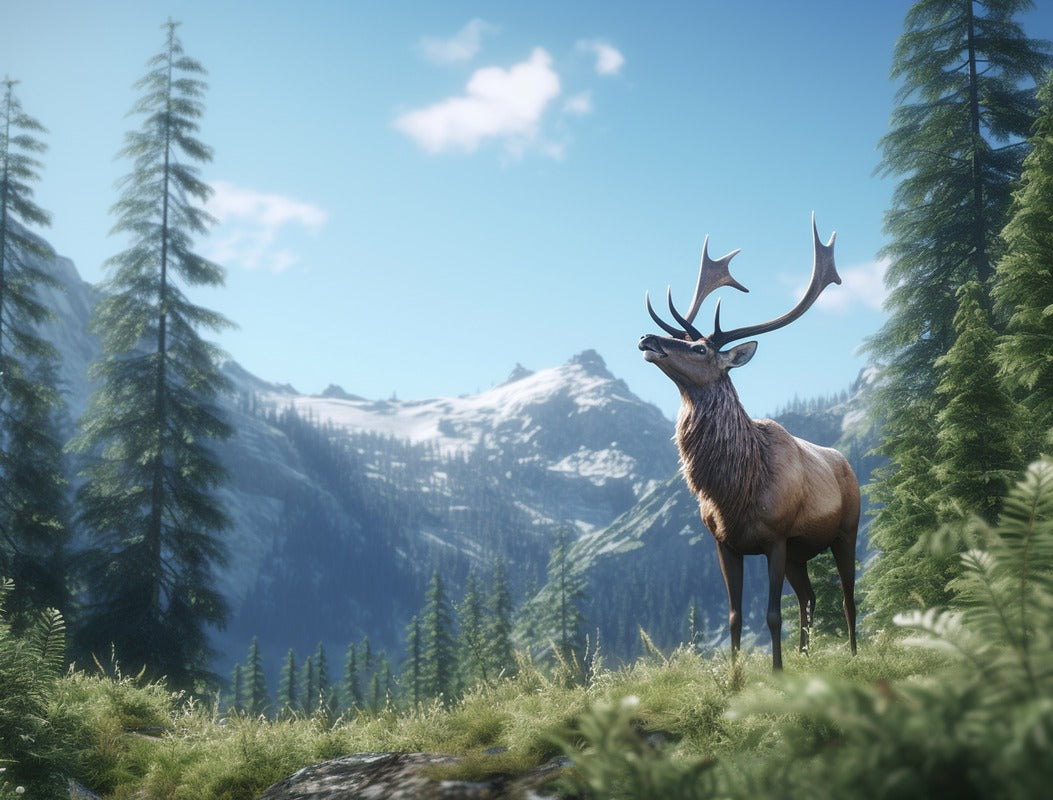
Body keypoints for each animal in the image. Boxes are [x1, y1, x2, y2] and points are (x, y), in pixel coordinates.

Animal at [638, 216, 859, 670]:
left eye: (699, 348)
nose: (648, 339)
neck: (736, 489)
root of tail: (847, 463)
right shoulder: (725, 544)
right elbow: (735, 616)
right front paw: (735, 675)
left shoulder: (774, 537)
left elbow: (773, 615)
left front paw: (776, 672)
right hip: (799, 553)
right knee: (809, 597)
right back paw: (805, 657)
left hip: (847, 530)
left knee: (848, 597)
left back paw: (853, 653)